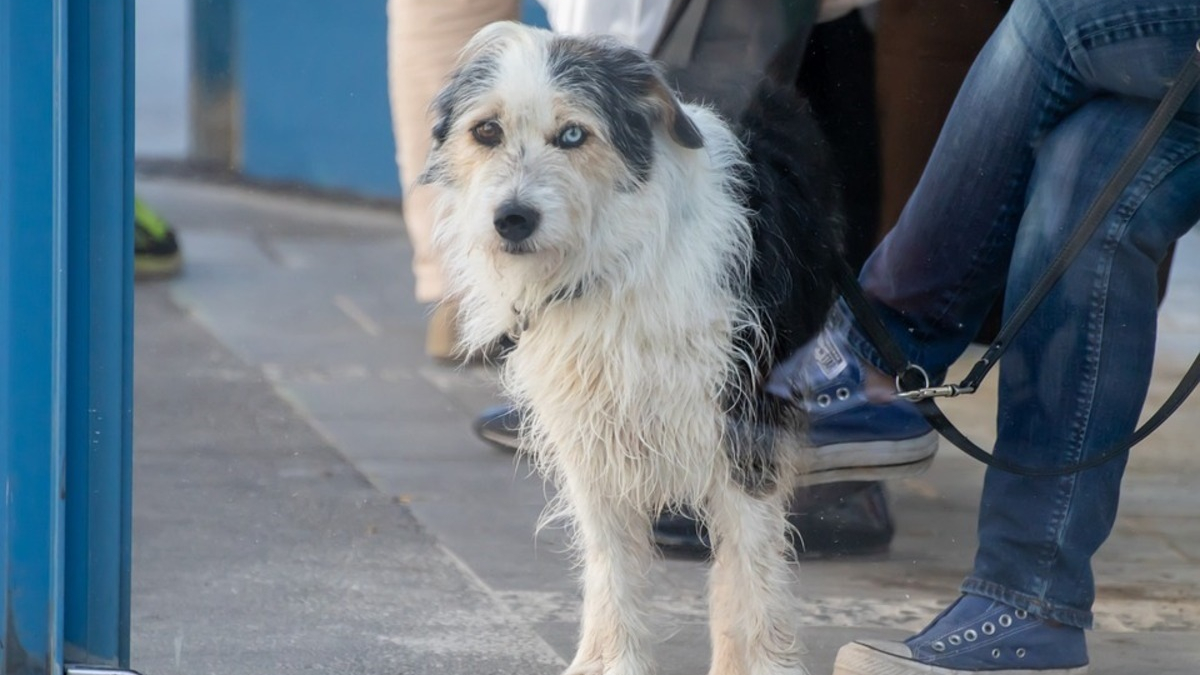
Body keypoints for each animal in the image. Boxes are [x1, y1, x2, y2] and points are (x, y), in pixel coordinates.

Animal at [422, 22, 844, 672]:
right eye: (486, 131)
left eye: (573, 134)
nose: (512, 219)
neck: (613, 265)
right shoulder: (591, 441)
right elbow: (611, 569)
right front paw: (614, 659)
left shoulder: (745, 428)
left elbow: (754, 572)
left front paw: (767, 663)